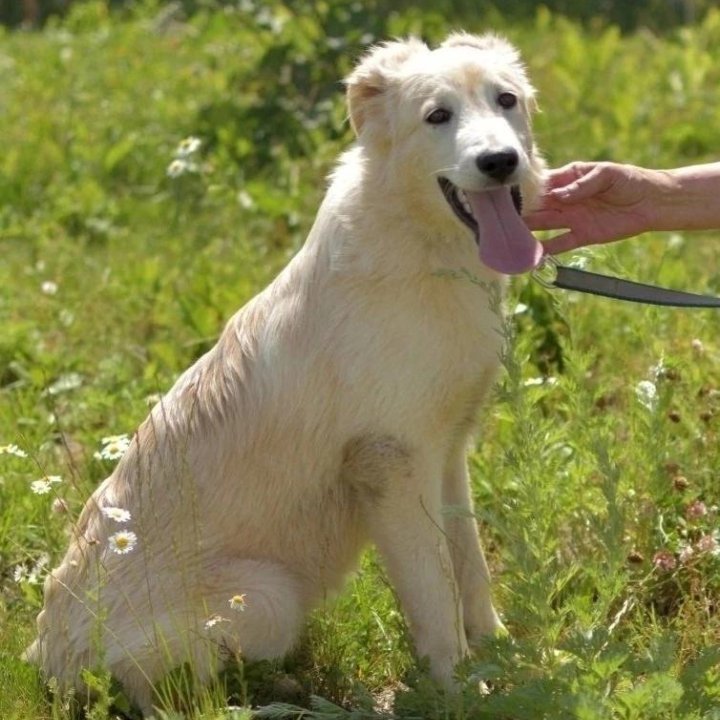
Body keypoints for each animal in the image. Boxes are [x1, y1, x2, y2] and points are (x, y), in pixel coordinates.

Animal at [28, 32, 544, 716]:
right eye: (438, 116)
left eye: (505, 100)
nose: (500, 162)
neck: (425, 255)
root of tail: (42, 658)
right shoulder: (391, 464)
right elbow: (437, 599)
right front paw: (464, 692)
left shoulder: (448, 453)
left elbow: (472, 570)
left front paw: (504, 655)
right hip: (270, 597)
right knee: (158, 692)